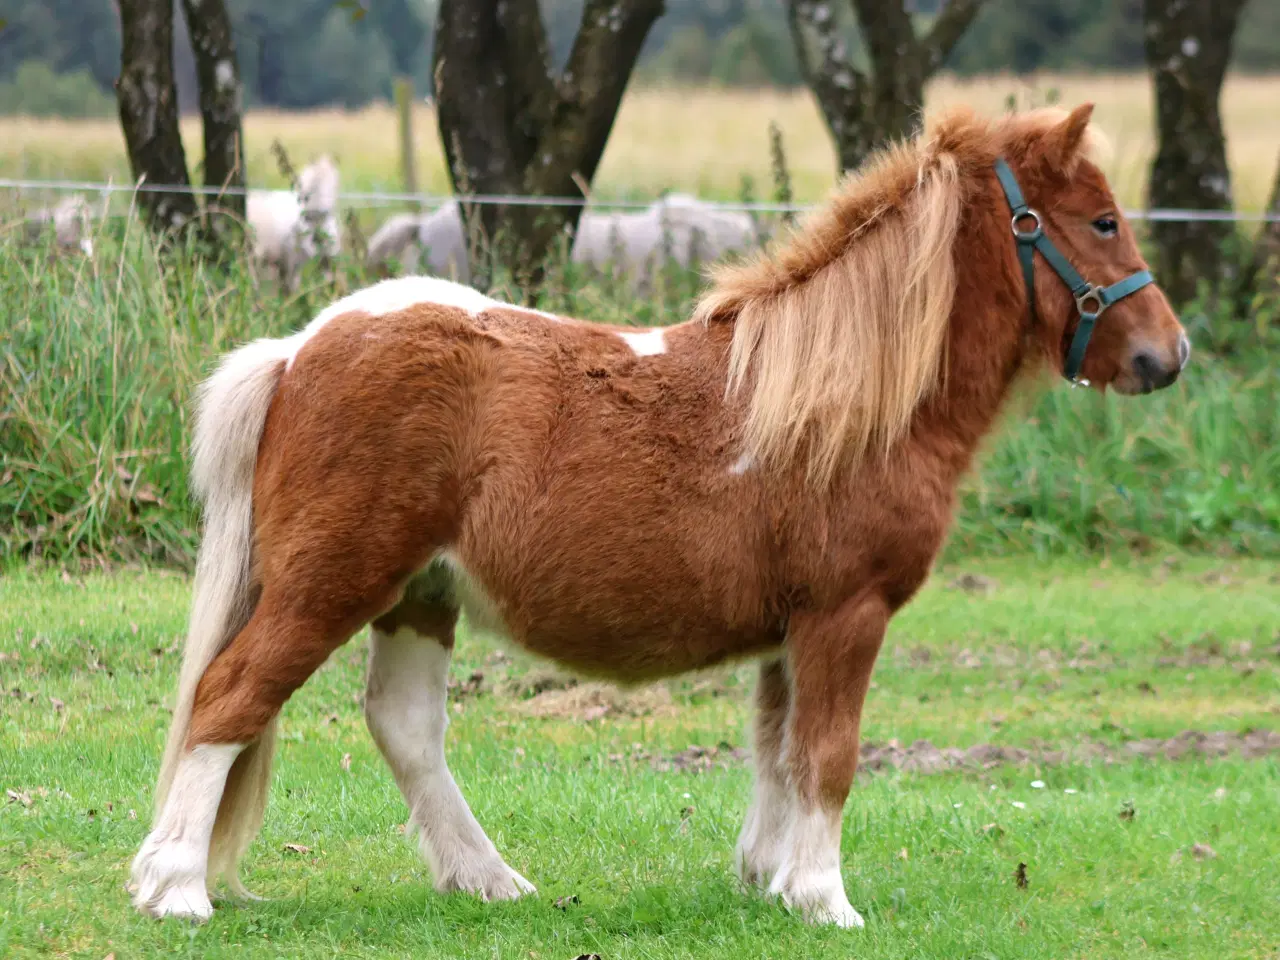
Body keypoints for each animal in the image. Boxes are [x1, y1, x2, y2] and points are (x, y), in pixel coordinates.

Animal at [132, 106, 1187, 931]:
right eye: (1101, 219)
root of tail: (299, 348)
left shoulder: (791, 632)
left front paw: (769, 882)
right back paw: (177, 888)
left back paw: (487, 879)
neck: (841, 402)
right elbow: (828, 755)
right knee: (230, 697)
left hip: (419, 595)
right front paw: (825, 898)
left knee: (404, 727)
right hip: (331, 585)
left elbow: (778, 752)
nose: (1166, 355)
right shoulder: (845, 615)